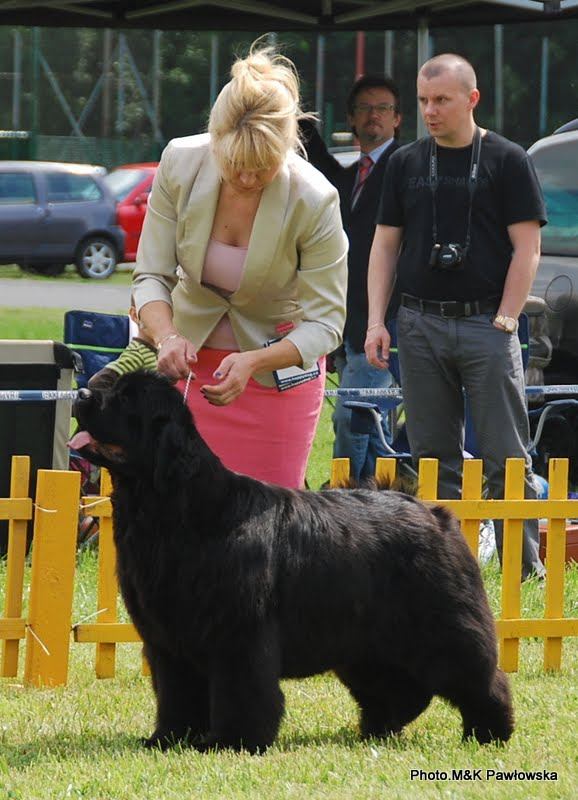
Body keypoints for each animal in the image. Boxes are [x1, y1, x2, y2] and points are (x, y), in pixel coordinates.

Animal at [70, 372, 510, 752]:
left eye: (126, 400)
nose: (81, 394)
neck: (174, 512)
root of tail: (432, 511)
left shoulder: (238, 633)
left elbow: (241, 690)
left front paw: (233, 742)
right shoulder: (167, 639)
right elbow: (176, 693)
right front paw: (169, 739)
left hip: (443, 627)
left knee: (482, 680)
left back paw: (489, 733)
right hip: (364, 644)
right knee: (396, 689)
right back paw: (376, 730)